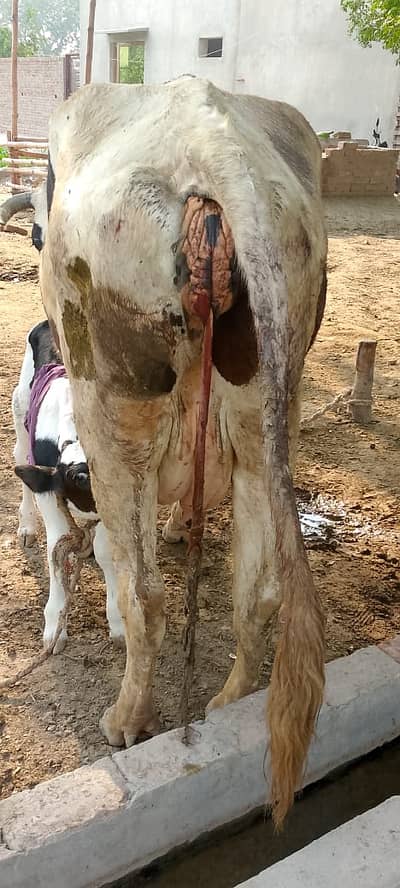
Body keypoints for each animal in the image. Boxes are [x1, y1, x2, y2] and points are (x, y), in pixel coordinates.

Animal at [12, 320, 124, 651]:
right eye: (80, 480)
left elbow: (104, 549)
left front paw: (117, 621)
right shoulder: (50, 490)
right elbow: (56, 548)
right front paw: (55, 628)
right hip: (19, 413)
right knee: (20, 462)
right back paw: (27, 527)